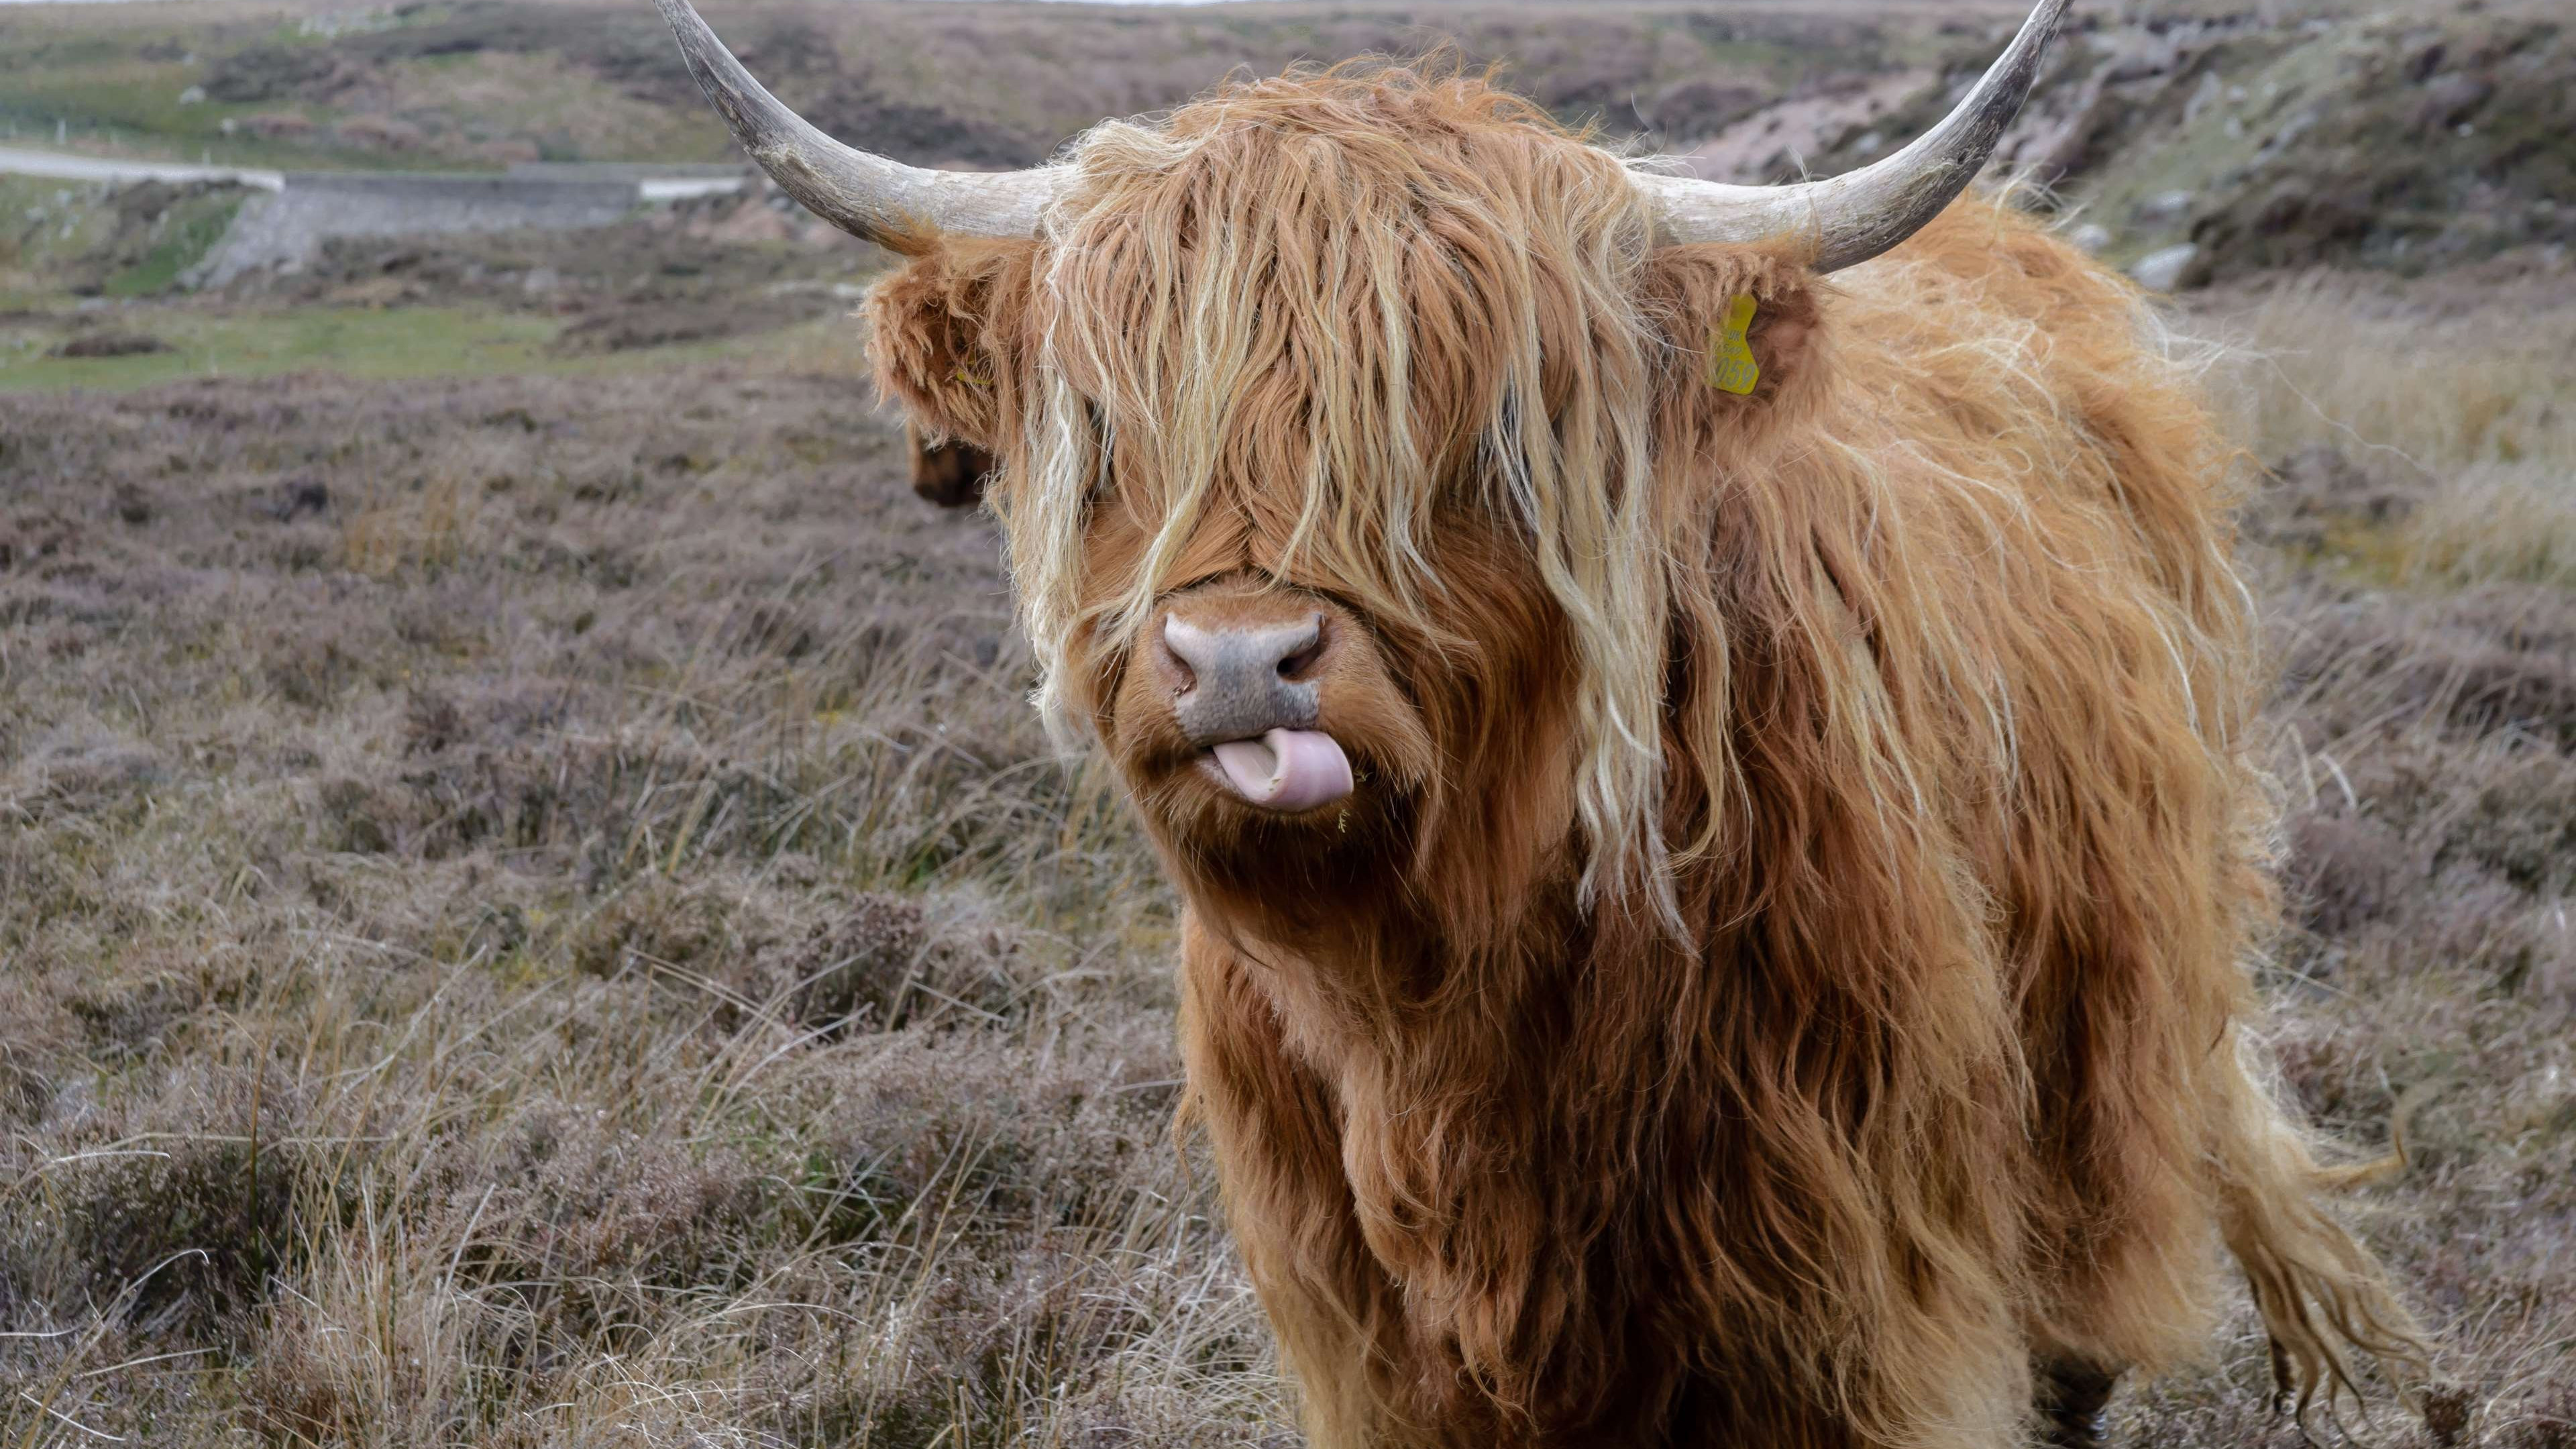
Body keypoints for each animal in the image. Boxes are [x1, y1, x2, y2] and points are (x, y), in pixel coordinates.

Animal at [654, 5, 2421, 1433]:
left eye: (1483, 433)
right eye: (1107, 430)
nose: (1239, 665)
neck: (1446, 1007)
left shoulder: (1857, 1297)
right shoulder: (1366, 1331)